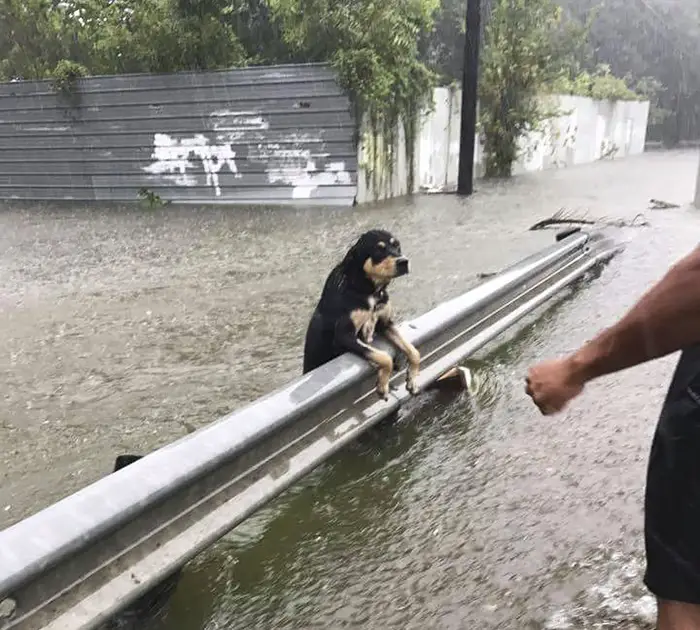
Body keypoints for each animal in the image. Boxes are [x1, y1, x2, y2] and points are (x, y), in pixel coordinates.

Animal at [302, 231, 422, 400]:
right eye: (379, 250)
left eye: (397, 245)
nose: (403, 261)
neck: (369, 290)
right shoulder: (344, 336)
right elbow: (384, 357)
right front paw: (382, 385)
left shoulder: (386, 323)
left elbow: (413, 351)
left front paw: (412, 379)